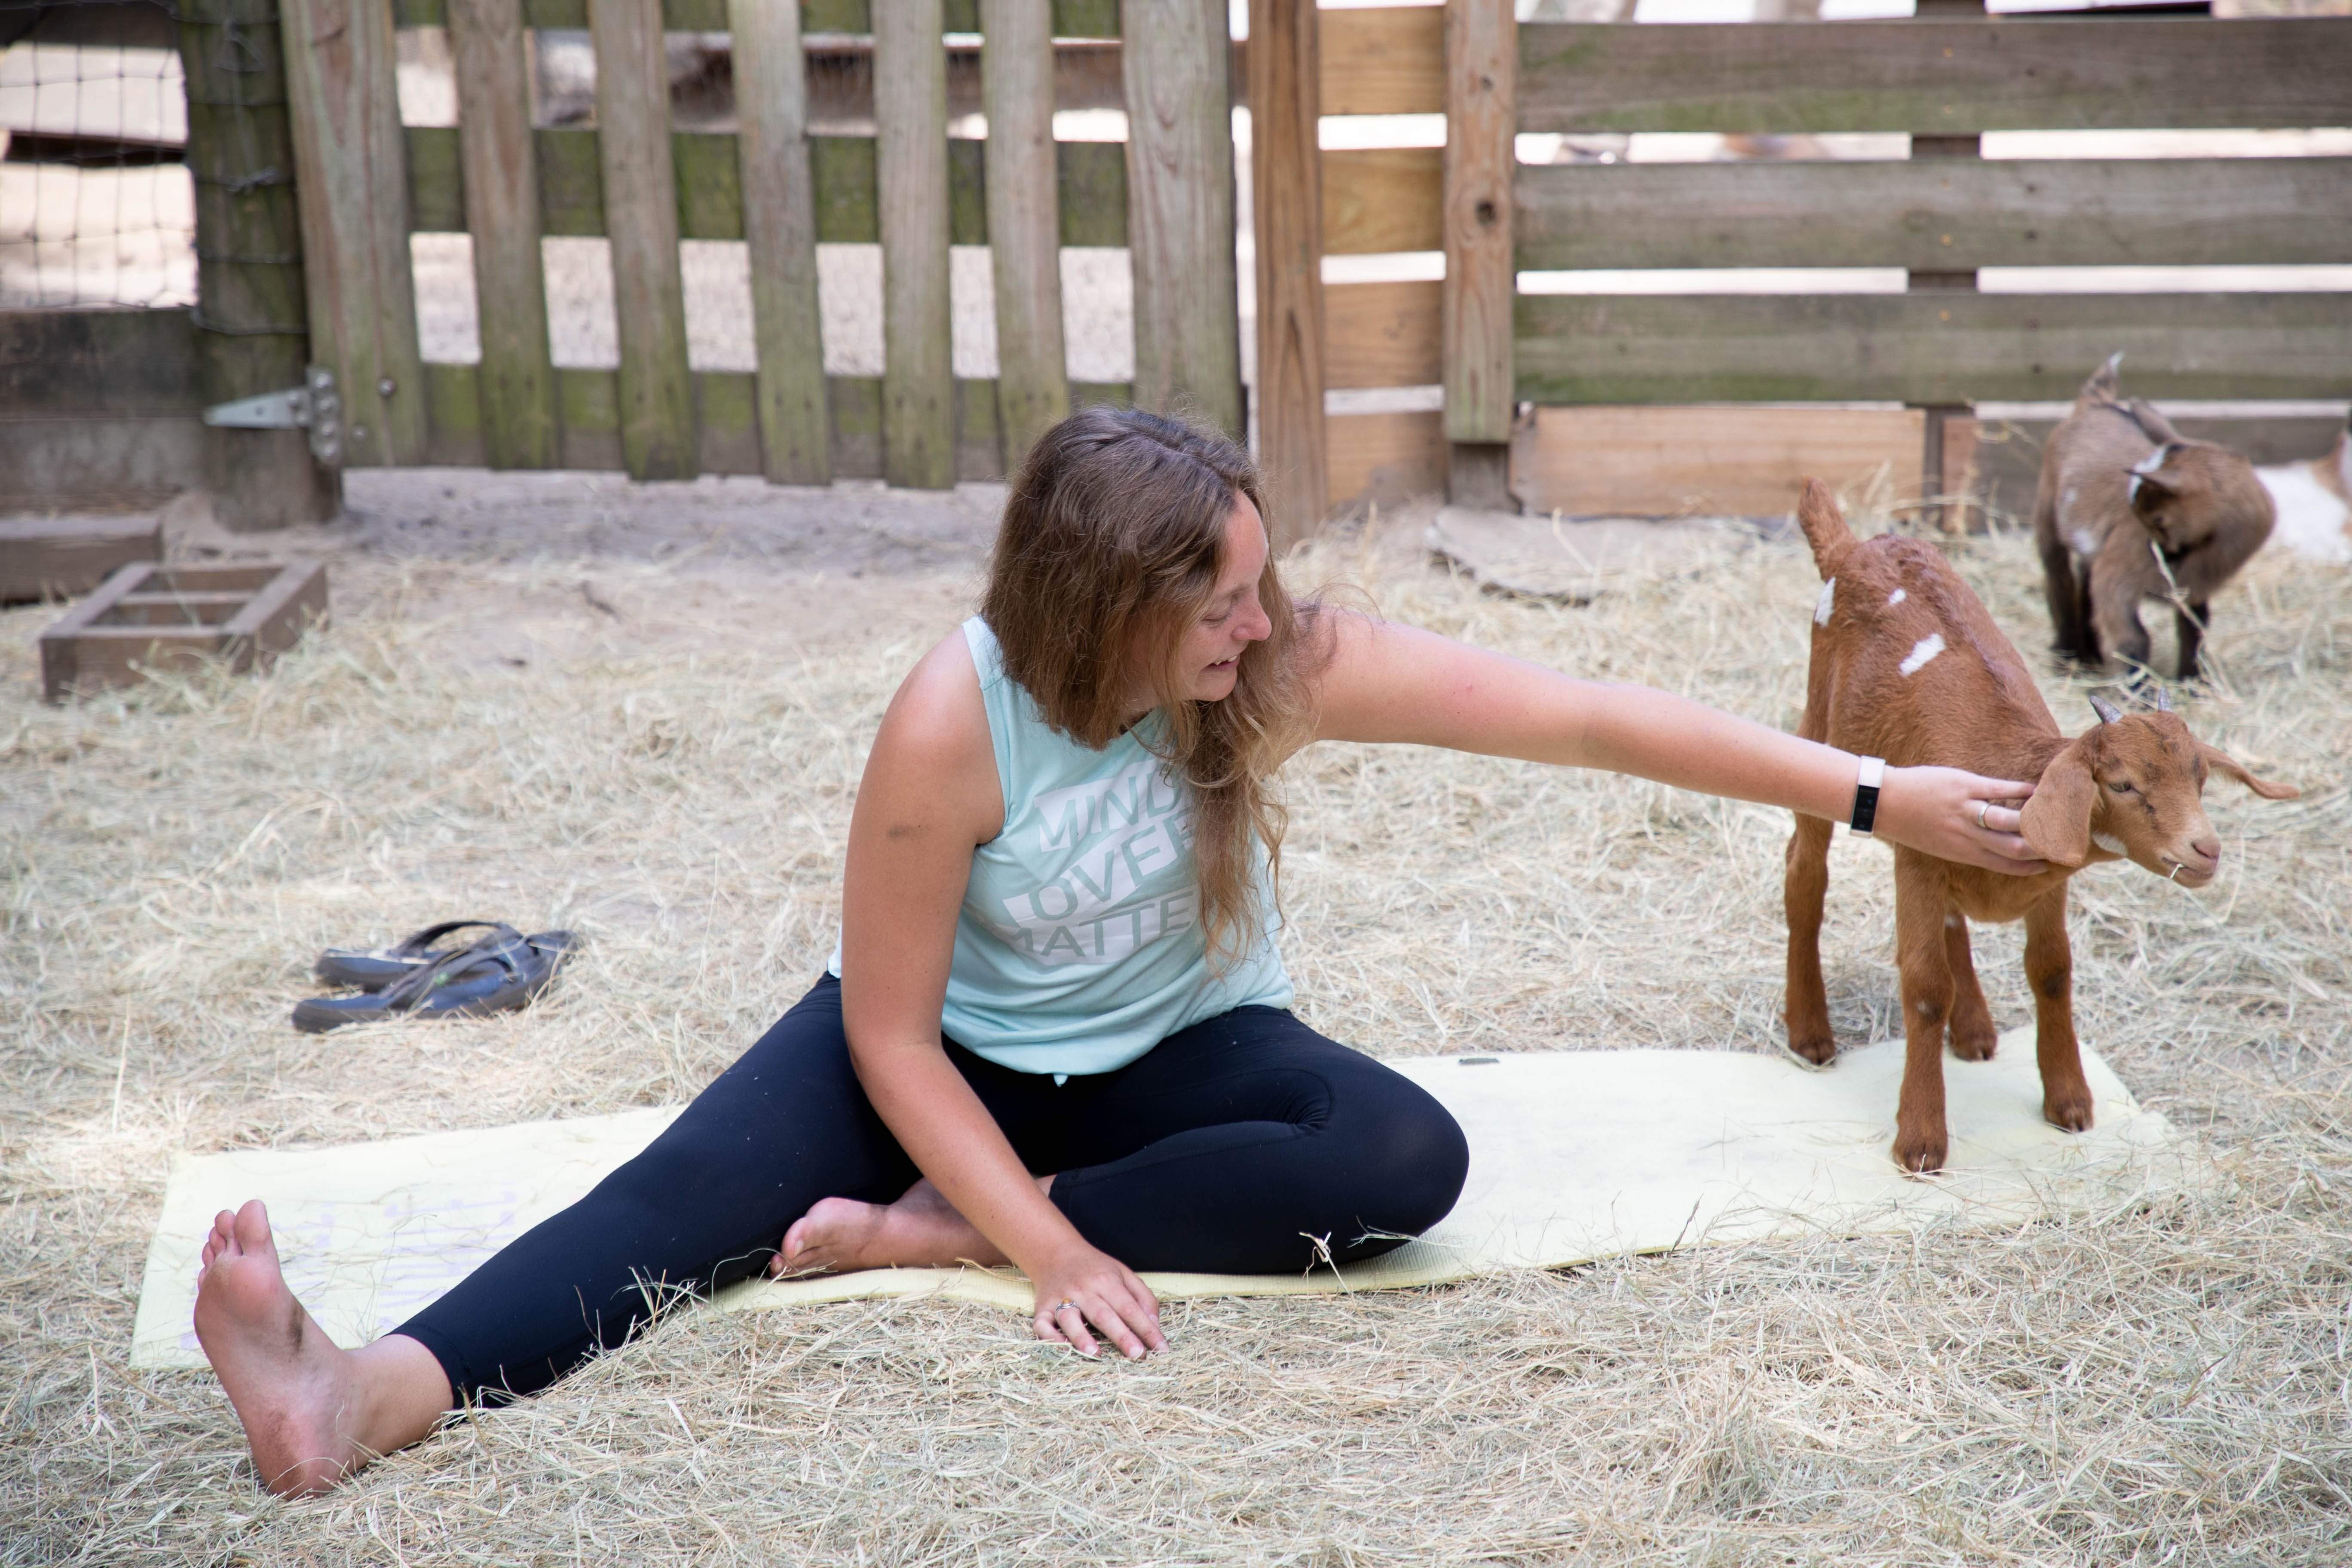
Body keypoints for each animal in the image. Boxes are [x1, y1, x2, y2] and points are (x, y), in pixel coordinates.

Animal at [1785, 479, 2296, 1173]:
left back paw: (1975, 1030)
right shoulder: (1918, 860)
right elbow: (1924, 987)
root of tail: (1858, 546)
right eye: (2122, 785)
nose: (2206, 850)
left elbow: (2052, 971)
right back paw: (1810, 1032)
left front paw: (2070, 1103)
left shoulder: (2046, 880)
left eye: (2200, 779)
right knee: (1804, 871)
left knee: (1952, 923)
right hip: (1820, 730)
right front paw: (1920, 1141)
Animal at [2033, 355, 2275, 682]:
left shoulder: (2193, 590)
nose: (2156, 553)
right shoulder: (2117, 577)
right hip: (2047, 513)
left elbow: (2194, 631)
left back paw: (2090, 656)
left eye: (2157, 518)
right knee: (2058, 578)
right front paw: (2140, 689)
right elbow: (2133, 639)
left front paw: (2193, 681)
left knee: (2083, 580)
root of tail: (2094, 404)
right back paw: (2069, 656)